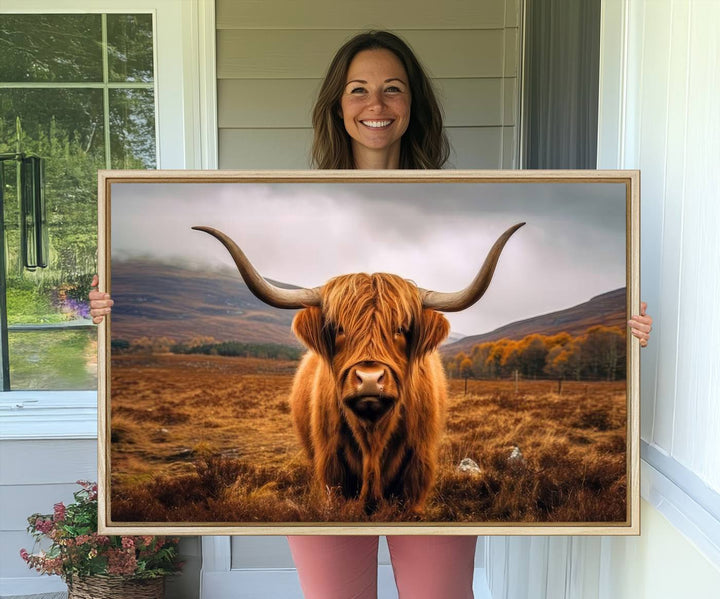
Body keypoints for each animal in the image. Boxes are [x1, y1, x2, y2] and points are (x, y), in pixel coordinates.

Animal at [191, 223, 524, 512]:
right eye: (339, 328)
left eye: (400, 328)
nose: (369, 379)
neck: (372, 437)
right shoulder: (332, 471)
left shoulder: (416, 476)